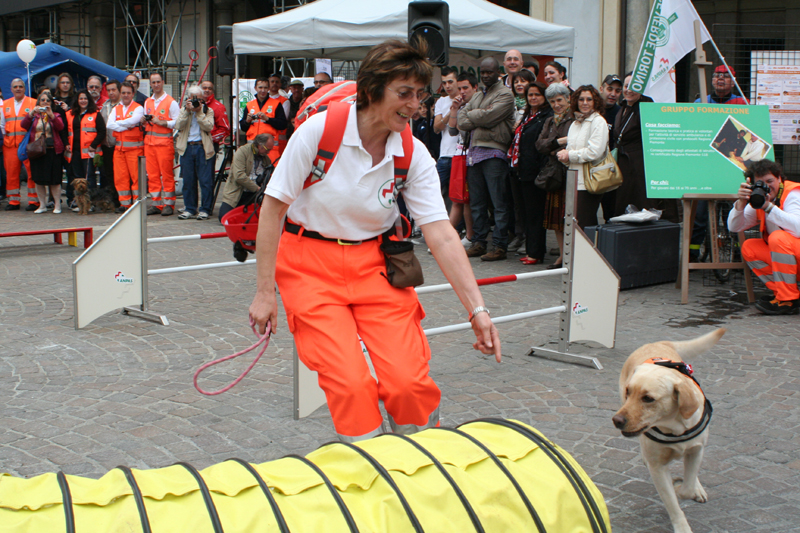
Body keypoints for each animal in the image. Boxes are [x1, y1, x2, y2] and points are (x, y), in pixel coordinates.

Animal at [612, 328, 724, 532]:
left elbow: (687, 488)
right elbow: (672, 502)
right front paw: (682, 525)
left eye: (648, 398)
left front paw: (684, 488)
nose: (616, 420)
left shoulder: (697, 449)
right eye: (628, 392)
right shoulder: (657, 467)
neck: (674, 427)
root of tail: (656, 343)